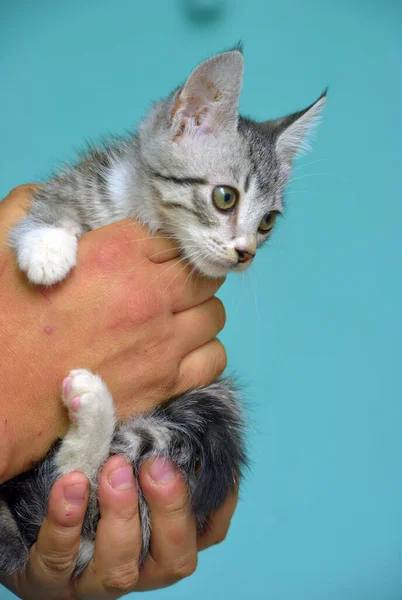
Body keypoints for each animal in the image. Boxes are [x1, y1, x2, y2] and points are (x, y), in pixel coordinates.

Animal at [0, 48, 326, 576]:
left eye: (267, 223)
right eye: (225, 197)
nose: (245, 253)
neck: (147, 215)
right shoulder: (91, 178)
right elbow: (58, 197)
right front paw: (47, 247)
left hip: (214, 401)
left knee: (71, 487)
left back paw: (91, 405)